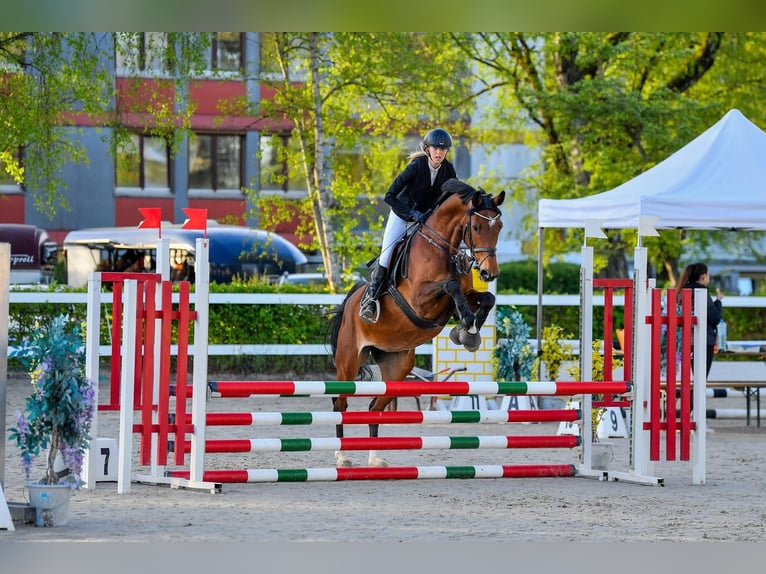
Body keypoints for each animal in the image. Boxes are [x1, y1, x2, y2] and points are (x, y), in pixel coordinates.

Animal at [328, 179, 508, 468]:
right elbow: (450, 285)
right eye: (477, 227)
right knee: (340, 404)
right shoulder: (419, 299)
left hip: (397, 366)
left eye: (499, 226)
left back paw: (375, 459)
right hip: (348, 361)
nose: (488, 273)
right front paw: (467, 326)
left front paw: (468, 332)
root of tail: (351, 301)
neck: (441, 247)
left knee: (374, 408)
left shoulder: (463, 296)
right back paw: (342, 456)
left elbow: (485, 298)